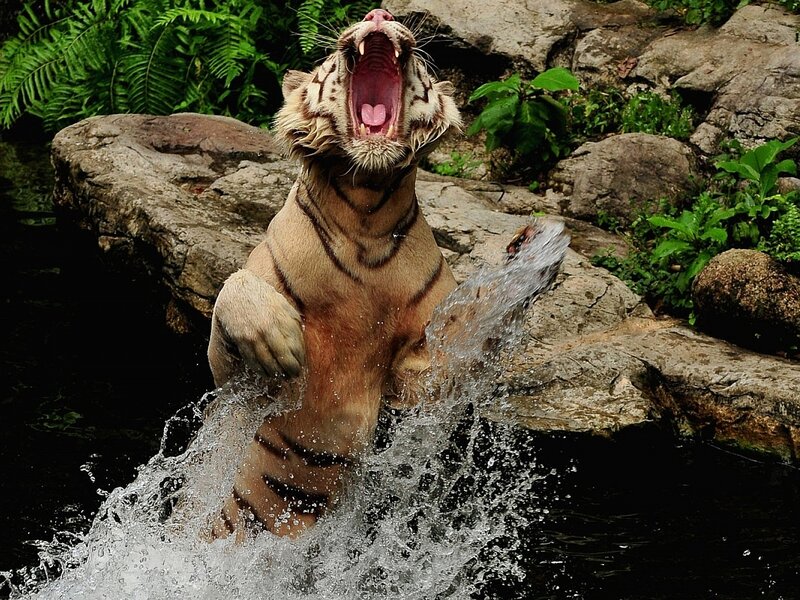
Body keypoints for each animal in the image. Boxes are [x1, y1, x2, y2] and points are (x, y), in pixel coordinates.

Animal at [207, 8, 463, 539]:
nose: (379, 14)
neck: (365, 212)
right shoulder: (230, 380)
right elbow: (233, 289)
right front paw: (280, 342)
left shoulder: (421, 374)